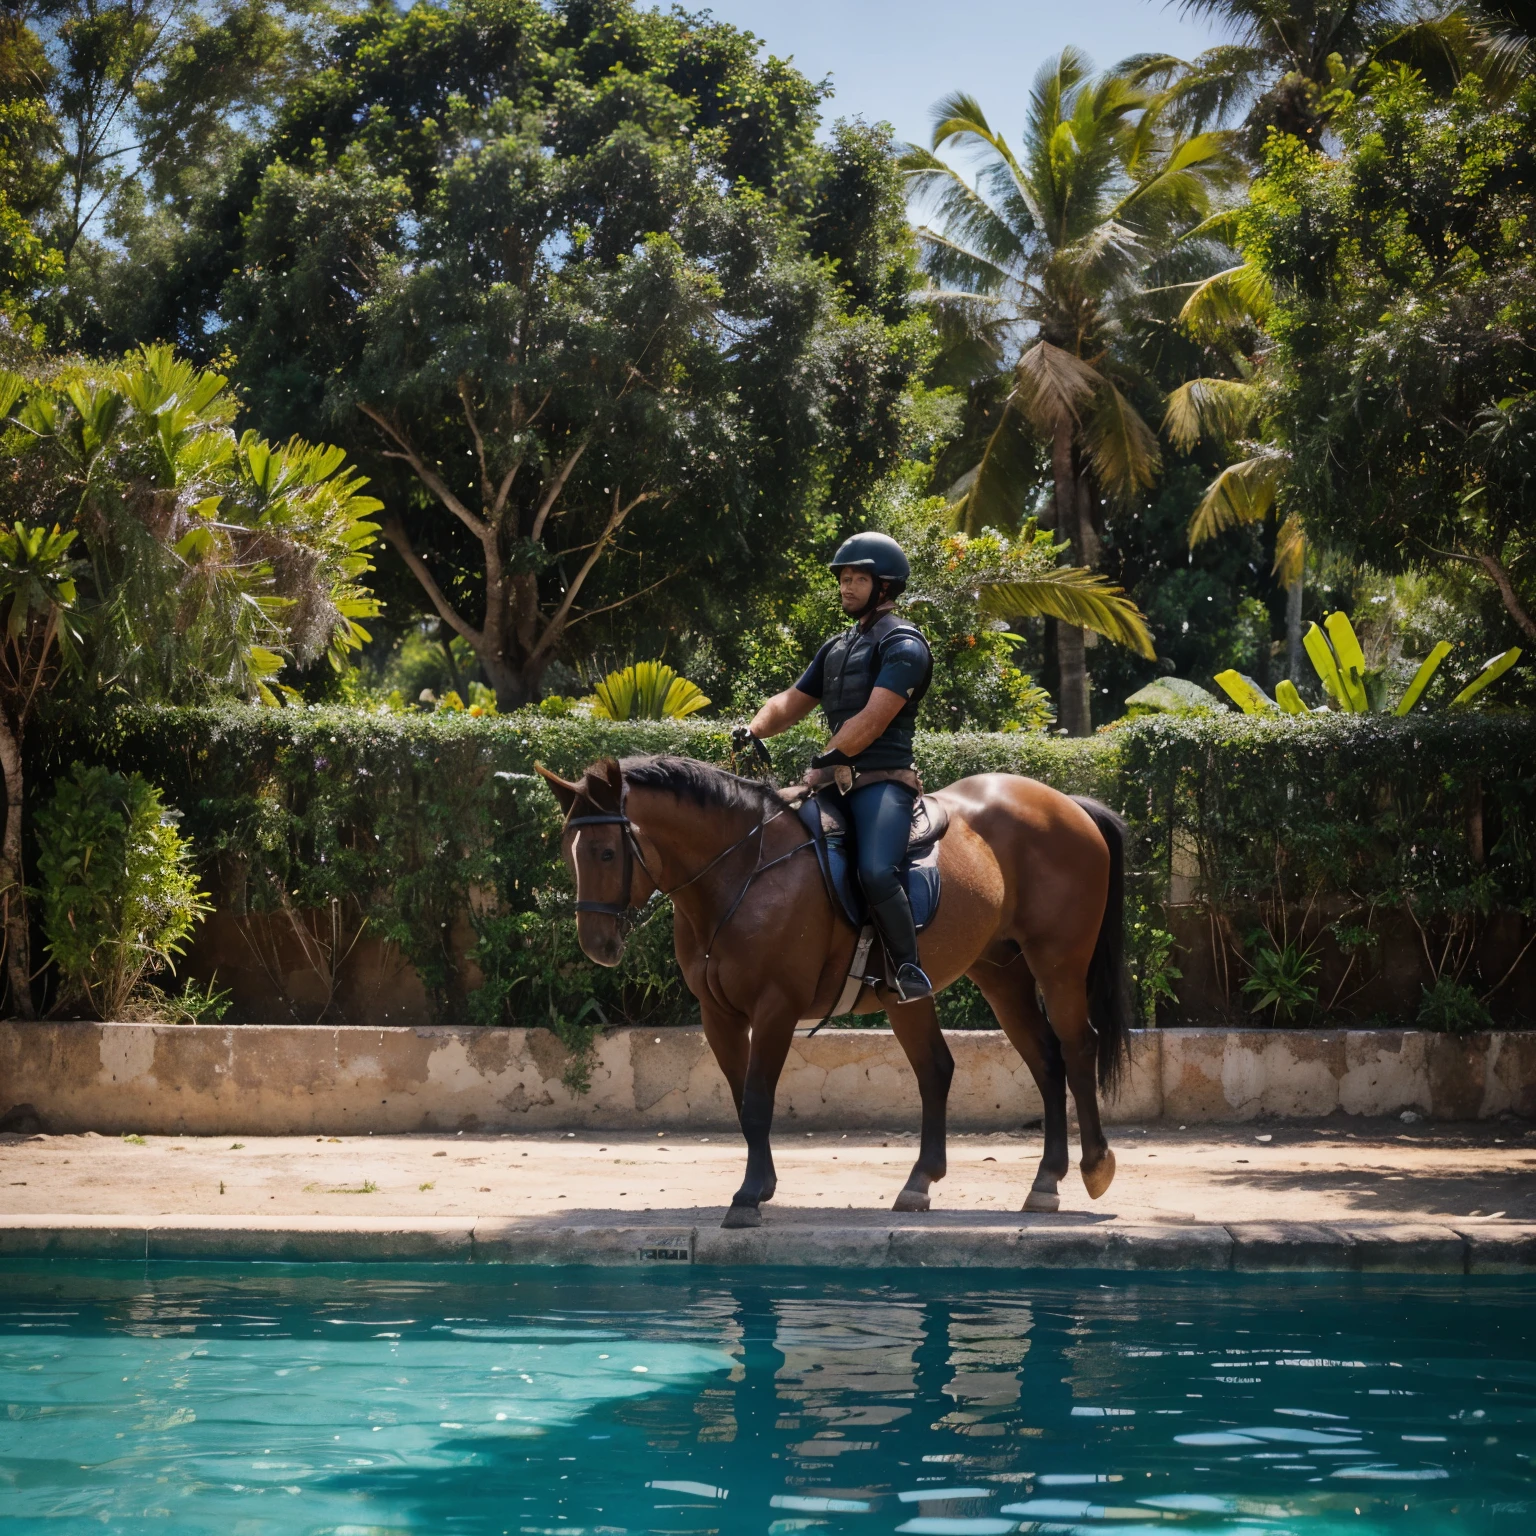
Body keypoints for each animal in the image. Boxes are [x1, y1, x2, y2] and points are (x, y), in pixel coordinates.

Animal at [534, 761, 1136, 1228]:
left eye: (606, 853)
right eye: (569, 852)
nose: (597, 944)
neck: (742, 869)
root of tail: (1066, 804)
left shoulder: (775, 1008)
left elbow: (758, 1099)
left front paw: (747, 1198)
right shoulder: (719, 1015)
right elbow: (742, 1099)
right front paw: (761, 1184)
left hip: (1057, 964)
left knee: (1076, 1047)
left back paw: (1094, 1166)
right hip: (995, 972)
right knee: (1015, 1061)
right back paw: (1016, 1181)